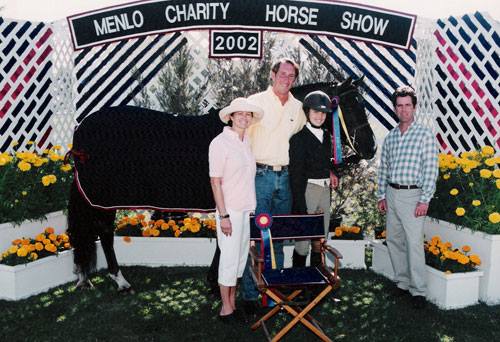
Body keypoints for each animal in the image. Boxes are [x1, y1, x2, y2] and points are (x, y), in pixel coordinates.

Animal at [69, 77, 376, 292]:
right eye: (351, 105)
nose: (371, 147)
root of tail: (83, 128)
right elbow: (226, 238)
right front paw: (218, 283)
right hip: (103, 198)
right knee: (104, 233)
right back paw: (119, 280)